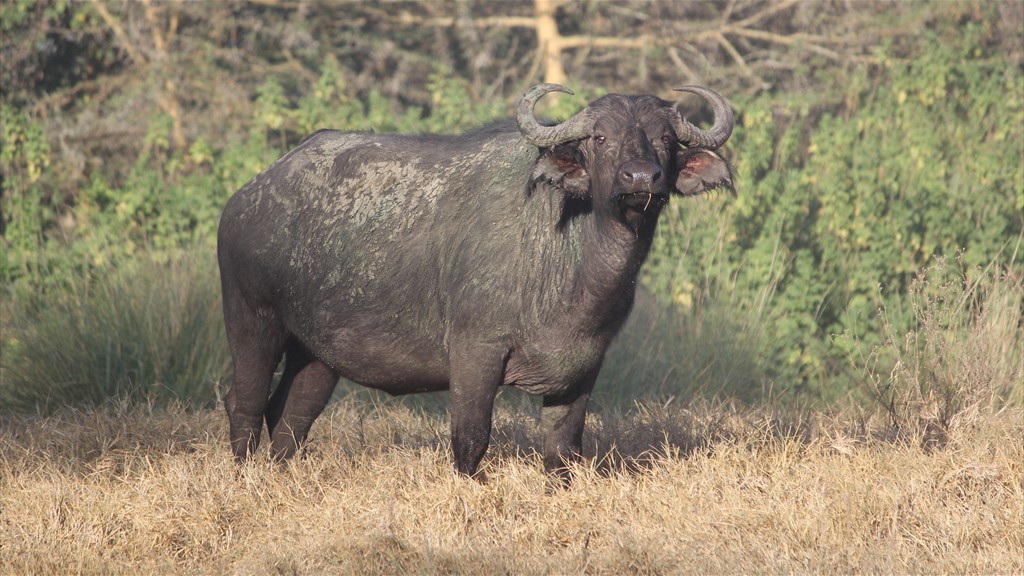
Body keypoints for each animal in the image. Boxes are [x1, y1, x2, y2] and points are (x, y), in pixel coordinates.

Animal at [220, 81, 737, 475]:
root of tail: (247, 197)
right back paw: (245, 474)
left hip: (318, 353)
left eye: (666, 140)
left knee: (291, 414)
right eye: (600, 139)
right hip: (252, 322)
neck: (566, 258)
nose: (641, 178)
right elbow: (470, 438)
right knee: (244, 402)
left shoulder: (585, 364)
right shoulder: (475, 352)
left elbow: (563, 449)